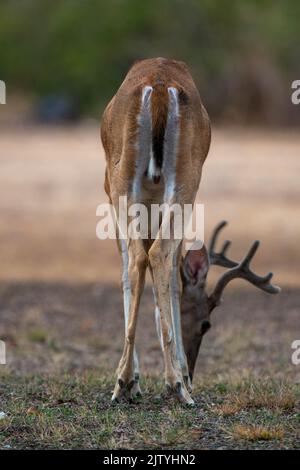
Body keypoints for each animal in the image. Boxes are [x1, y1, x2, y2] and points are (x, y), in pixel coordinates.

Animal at [101, 58, 211, 404]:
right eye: (205, 323)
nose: (194, 370)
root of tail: (160, 84)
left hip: (126, 184)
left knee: (143, 257)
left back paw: (132, 381)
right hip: (181, 185)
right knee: (153, 256)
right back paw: (171, 384)